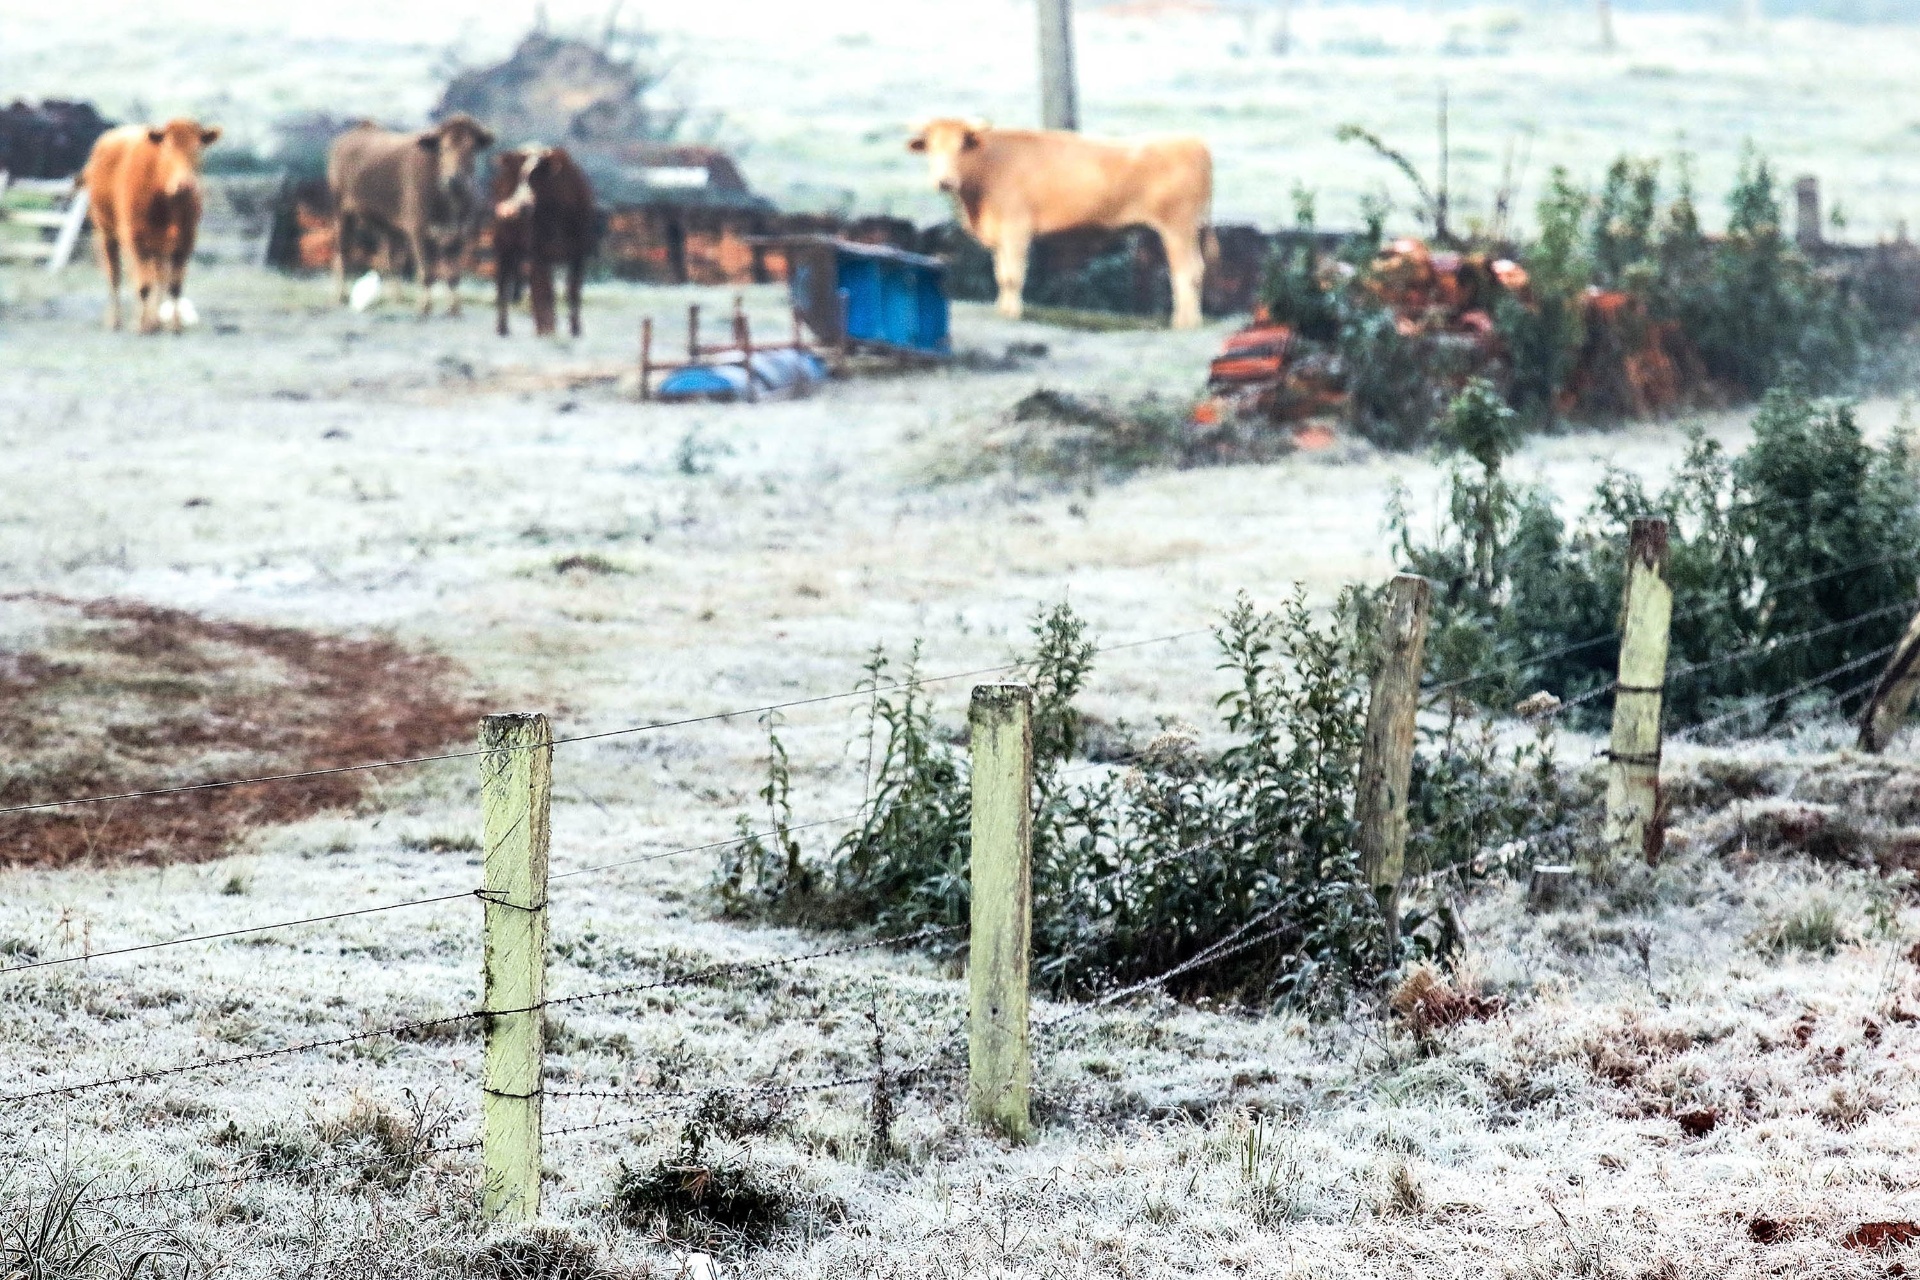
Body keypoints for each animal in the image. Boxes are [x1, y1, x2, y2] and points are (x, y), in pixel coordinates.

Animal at [83, 118, 220, 335]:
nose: (185, 184)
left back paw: (156, 321)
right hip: (106, 232)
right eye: (168, 148)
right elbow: (143, 285)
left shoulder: (186, 240)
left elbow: (174, 285)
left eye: (198, 148)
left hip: (158, 247)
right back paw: (117, 321)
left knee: (159, 277)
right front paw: (142, 326)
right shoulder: (135, 239)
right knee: (116, 275)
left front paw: (175, 326)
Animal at [324, 115, 491, 314]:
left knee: (389, 260)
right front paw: (425, 307)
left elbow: (453, 275)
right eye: (444, 148)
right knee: (342, 253)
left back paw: (397, 298)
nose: (454, 179)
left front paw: (455, 308)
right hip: (341, 213)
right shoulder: (418, 231)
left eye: (471, 149)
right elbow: (426, 272)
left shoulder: (458, 235)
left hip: (387, 227)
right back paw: (340, 296)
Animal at [487, 146, 591, 339]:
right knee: (503, 284)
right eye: (517, 177)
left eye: (536, 176)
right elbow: (544, 293)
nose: (508, 209)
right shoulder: (539, 253)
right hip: (503, 247)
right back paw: (503, 328)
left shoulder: (579, 254)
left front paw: (575, 330)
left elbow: (573, 291)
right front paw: (546, 331)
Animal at [906, 117, 1205, 326]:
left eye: (961, 148)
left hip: (1177, 229)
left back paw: (1183, 322)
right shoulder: (1000, 236)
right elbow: (1001, 274)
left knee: (1184, 271)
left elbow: (1013, 276)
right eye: (931, 148)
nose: (945, 181)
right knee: (1196, 271)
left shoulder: (1016, 229)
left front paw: (1013, 312)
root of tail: (1191, 142)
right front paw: (1002, 309)